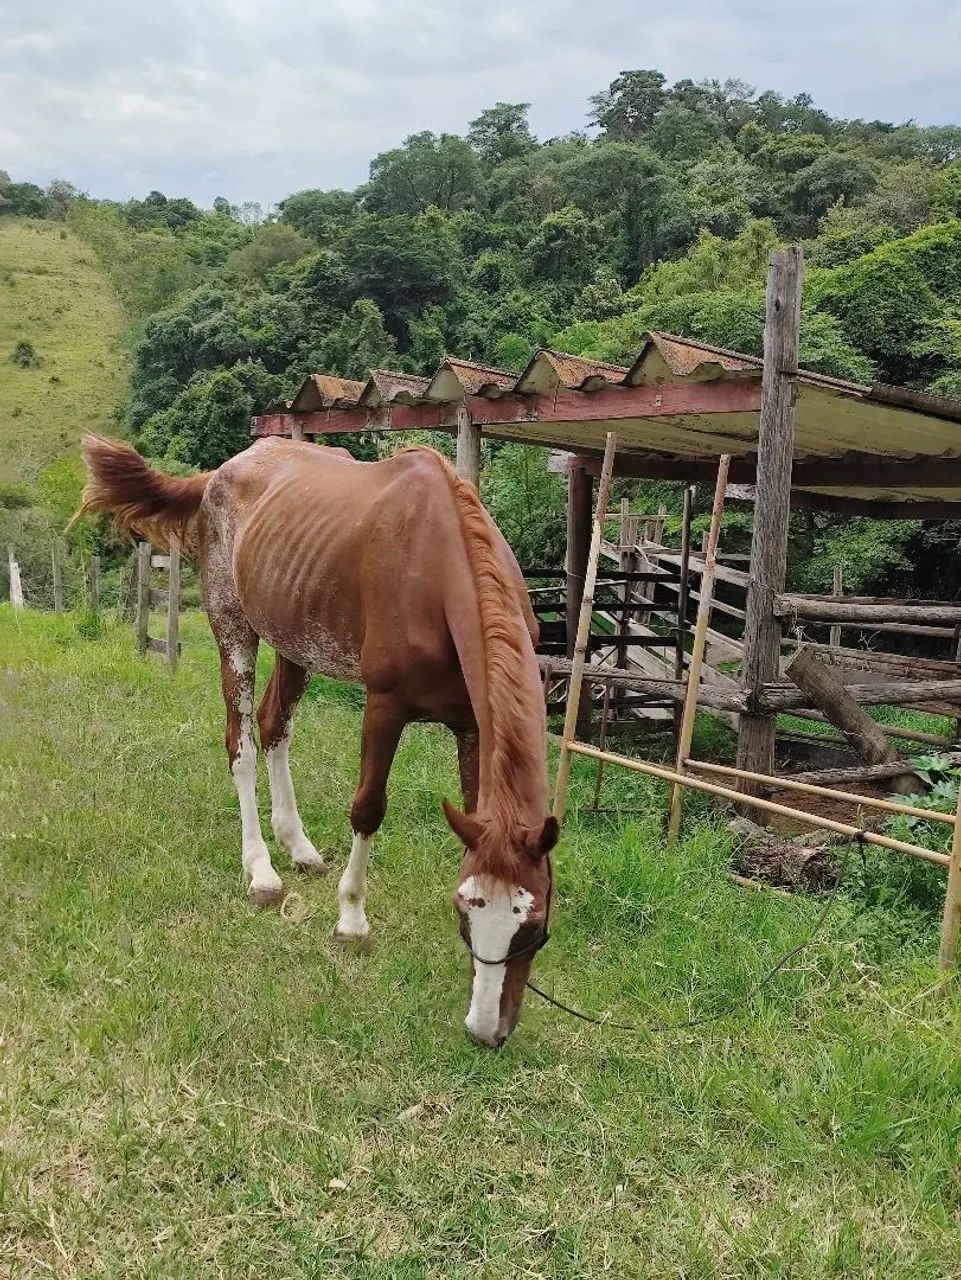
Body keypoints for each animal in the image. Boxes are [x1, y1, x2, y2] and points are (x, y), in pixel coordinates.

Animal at [79, 434, 559, 1047]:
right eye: (463, 912)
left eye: (536, 925)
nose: (485, 1030)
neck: (436, 571)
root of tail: (220, 473)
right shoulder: (384, 707)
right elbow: (368, 808)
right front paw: (351, 920)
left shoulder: (473, 727)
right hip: (234, 630)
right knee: (241, 744)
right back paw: (262, 870)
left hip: (293, 642)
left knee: (273, 727)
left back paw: (299, 846)